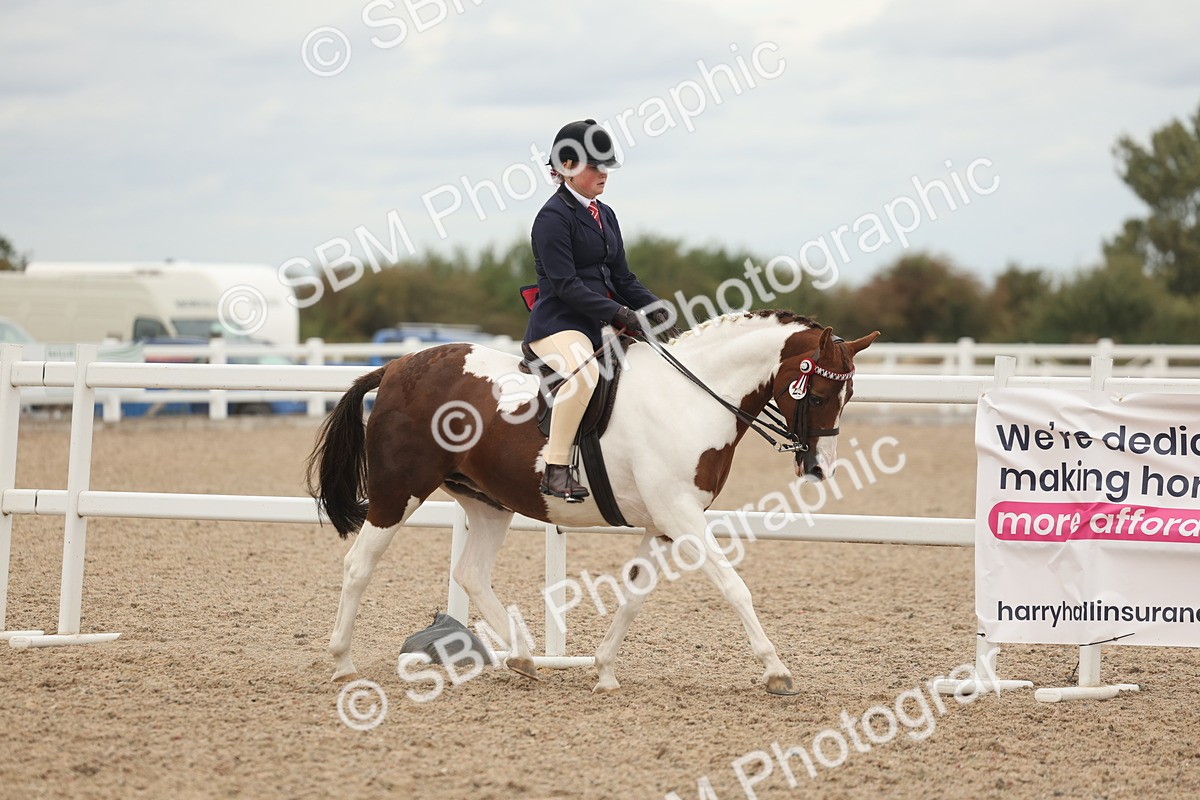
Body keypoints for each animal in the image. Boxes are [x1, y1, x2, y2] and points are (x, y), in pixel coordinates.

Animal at [307, 310, 879, 694]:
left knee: (470, 573)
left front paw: (603, 670)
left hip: (488, 502)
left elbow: (634, 596)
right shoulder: (682, 515)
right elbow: (734, 587)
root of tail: (396, 367)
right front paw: (777, 671)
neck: (691, 398)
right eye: (819, 394)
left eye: (848, 396)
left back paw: (522, 658)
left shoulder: (664, 522)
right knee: (359, 564)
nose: (818, 468)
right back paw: (342, 663)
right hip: (397, 491)